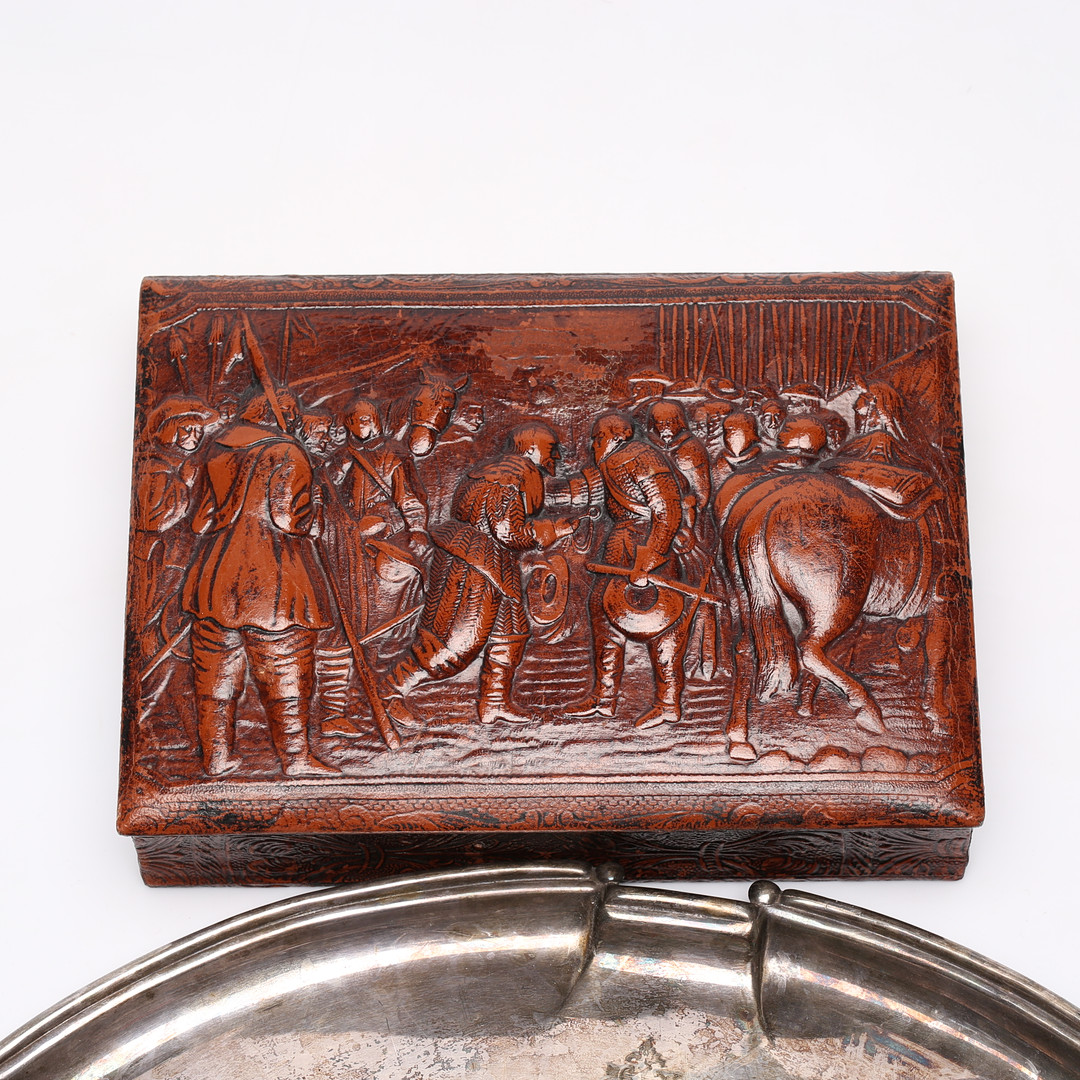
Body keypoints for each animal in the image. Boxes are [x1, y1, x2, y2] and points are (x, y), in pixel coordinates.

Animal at [718, 464, 944, 762]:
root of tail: (766, 504)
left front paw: (805, 707)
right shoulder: (942, 598)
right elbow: (938, 655)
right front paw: (938, 718)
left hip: (748, 597)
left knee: (746, 651)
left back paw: (739, 740)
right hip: (837, 597)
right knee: (809, 649)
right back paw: (867, 711)